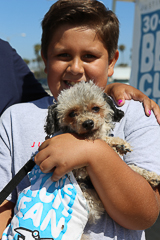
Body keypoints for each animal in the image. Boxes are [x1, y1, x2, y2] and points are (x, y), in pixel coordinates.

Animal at [44, 81, 160, 225]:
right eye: (72, 113)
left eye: (95, 108)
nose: (88, 123)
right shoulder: (79, 170)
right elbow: (102, 140)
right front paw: (117, 144)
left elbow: (132, 167)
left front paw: (150, 175)